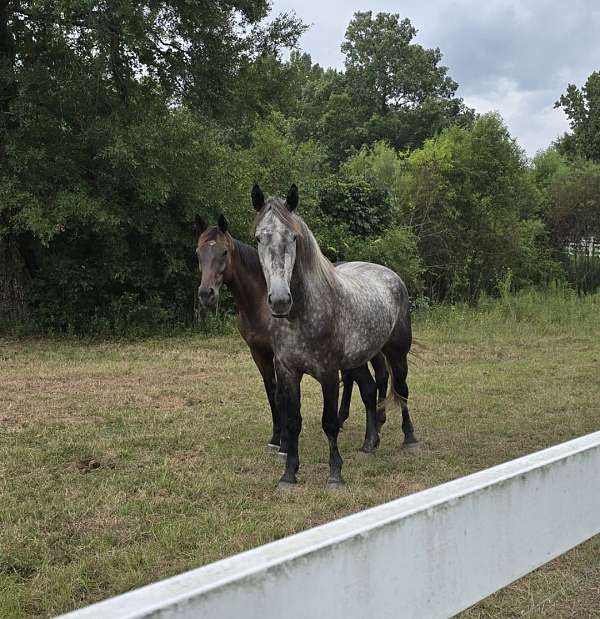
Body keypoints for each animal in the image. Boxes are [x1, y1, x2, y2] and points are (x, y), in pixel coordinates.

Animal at [195, 216, 386, 452]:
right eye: (199, 252)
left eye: (224, 252)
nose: (206, 294)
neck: (259, 302)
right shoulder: (259, 353)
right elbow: (271, 392)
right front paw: (276, 436)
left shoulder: (281, 356)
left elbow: (281, 395)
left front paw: (285, 441)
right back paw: (352, 423)